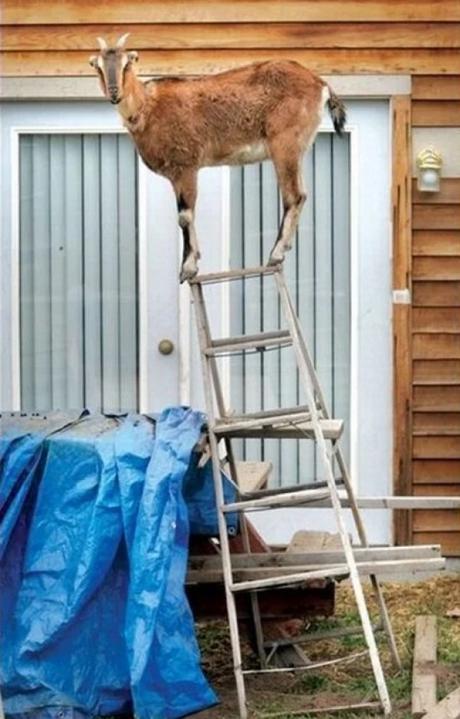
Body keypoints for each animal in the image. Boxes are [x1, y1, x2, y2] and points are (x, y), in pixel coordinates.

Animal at [90, 33, 344, 282]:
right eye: (98, 67)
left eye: (127, 64)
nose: (114, 92)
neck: (147, 106)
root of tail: (321, 84)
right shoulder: (177, 174)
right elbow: (185, 215)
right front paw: (194, 260)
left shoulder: (186, 165)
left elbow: (185, 216)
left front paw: (188, 268)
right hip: (296, 148)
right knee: (302, 194)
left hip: (284, 143)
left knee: (294, 195)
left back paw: (276, 254)